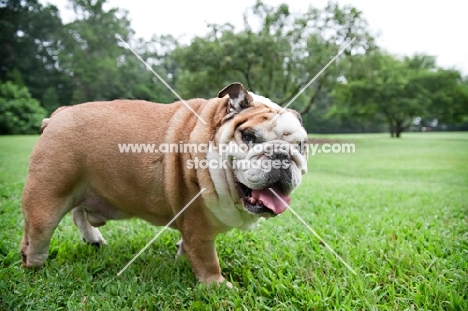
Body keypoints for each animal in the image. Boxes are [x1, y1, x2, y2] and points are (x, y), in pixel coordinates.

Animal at [21, 83, 308, 288]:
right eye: (248, 136)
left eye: (301, 146)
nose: (282, 155)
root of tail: (57, 115)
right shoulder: (197, 227)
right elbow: (207, 260)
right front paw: (218, 286)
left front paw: (181, 254)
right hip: (47, 199)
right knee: (36, 236)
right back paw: (34, 267)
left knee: (78, 211)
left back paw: (93, 239)